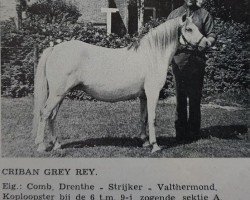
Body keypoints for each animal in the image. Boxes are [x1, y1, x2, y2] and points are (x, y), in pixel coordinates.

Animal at [32, 14, 210, 152]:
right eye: (189, 29)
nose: (207, 43)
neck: (152, 56)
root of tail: (54, 48)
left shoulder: (144, 95)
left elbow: (144, 117)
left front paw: (144, 142)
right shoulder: (153, 93)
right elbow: (152, 118)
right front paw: (155, 146)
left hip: (60, 94)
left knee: (52, 116)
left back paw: (57, 145)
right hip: (57, 93)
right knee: (45, 113)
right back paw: (41, 146)